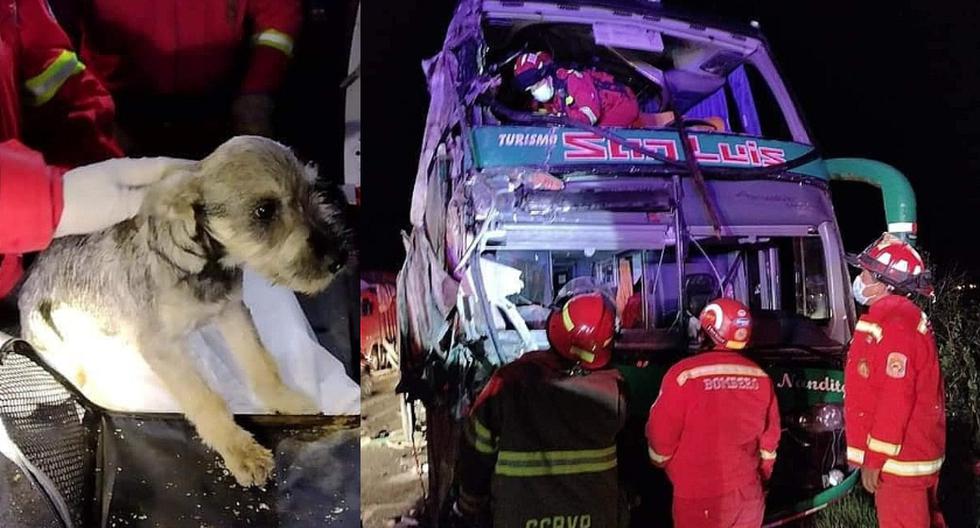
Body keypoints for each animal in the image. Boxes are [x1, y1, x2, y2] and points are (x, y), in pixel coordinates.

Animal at [18, 136, 352, 486]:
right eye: (264, 211)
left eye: (311, 191)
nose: (339, 259)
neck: (205, 265)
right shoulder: (162, 347)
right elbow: (205, 400)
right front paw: (241, 452)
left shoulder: (231, 311)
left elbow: (260, 363)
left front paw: (284, 399)